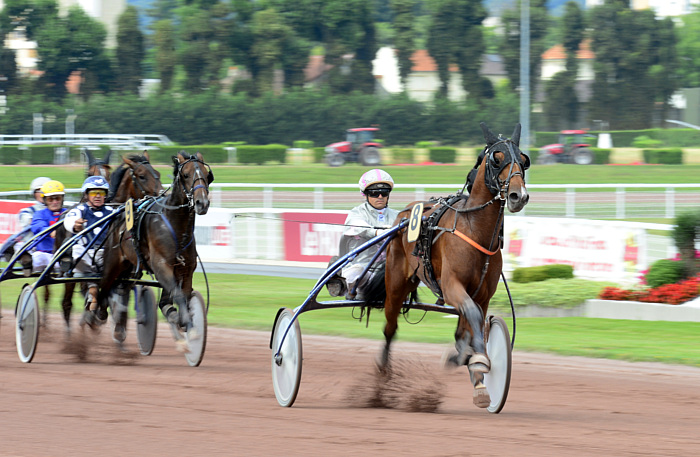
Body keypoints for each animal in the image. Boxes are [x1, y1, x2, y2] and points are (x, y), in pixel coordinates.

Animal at [96, 151, 211, 348]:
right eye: (185, 174)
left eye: (206, 173)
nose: (201, 202)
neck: (176, 225)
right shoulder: (161, 265)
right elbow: (177, 294)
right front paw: (183, 322)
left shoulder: (186, 268)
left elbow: (183, 295)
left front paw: (183, 321)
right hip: (113, 261)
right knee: (104, 286)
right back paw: (97, 313)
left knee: (120, 288)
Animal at [378, 121, 532, 406]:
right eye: (497, 158)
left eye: (524, 159)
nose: (519, 196)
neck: (474, 230)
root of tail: (405, 213)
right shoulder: (452, 286)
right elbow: (471, 318)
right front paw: (477, 360)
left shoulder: (481, 295)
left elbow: (470, 326)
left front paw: (474, 373)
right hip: (395, 285)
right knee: (390, 327)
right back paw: (382, 375)